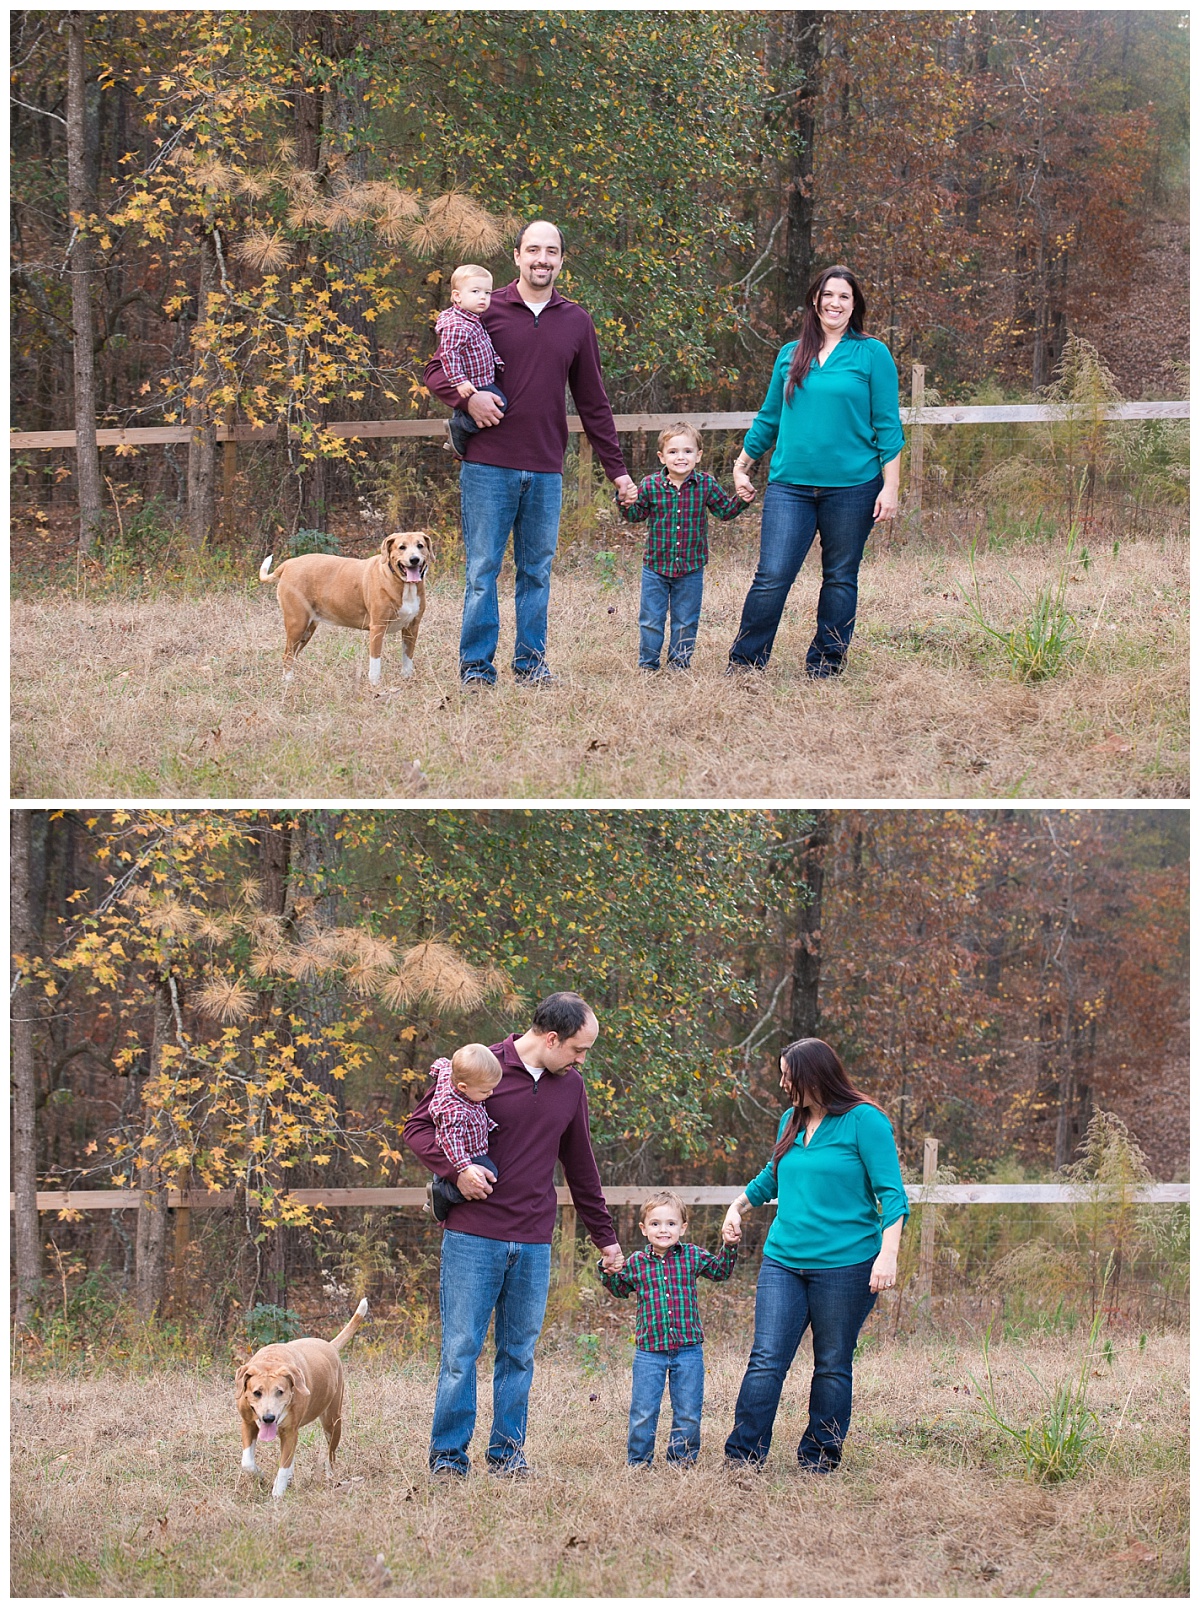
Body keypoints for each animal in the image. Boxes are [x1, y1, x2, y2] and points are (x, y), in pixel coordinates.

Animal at [233, 1292, 365, 1492]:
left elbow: (283, 1467)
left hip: (332, 1419)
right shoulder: (248, 1423)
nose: (269, 1418)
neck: (272, 1361)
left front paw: (277, 1494)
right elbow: (247, 1463)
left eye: (280, 1391)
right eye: (257, 1392)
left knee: (331, 1452)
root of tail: (330, 1345)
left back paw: (330, 1476)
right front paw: (260, 1475)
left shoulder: (289, 1430)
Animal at [258, 533, 431, 685]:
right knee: (287, 655)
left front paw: (407, 679)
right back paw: (288, 683)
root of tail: (289, 563)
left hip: (307, 629)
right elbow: (375, 662)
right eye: (402, 547)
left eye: (420, 545)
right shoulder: (378, 627)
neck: (402, 583)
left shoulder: (412, 627)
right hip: (297, 624)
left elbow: (407, 657)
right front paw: (375, 686)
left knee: (293, 655)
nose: (414, 559)